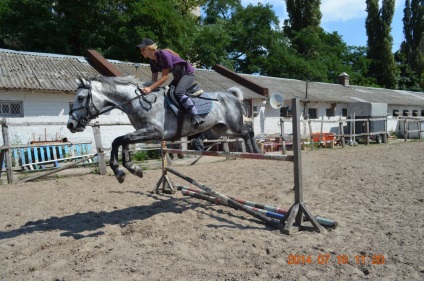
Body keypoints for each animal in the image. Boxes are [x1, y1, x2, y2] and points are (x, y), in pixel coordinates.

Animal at [67, 75, 260, 183]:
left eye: (81, 97)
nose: (71, 124)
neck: (137, 102)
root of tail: (230, 95)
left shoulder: (154, 132)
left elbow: (119, 141)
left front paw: (121, 171)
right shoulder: (142, 133)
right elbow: (122, 141)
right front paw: (130, 169)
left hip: (233, 125)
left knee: (248, 129)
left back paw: (256, 152)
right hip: (222, 129)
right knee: (245, 131)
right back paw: (253, 152)